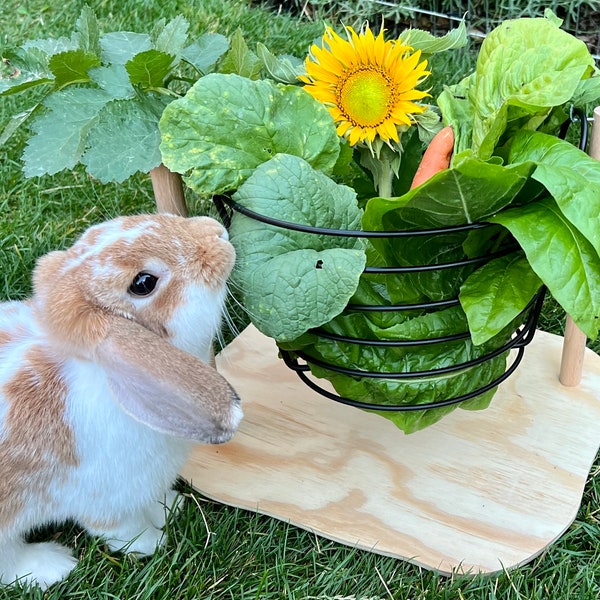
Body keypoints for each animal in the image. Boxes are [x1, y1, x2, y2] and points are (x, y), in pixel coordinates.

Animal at [0, 213, 244, 588]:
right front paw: (153, 542)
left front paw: (171, 507)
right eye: (143, 283)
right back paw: (52, 564)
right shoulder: (106, 501)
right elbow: (123, 530)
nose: (216, 233)